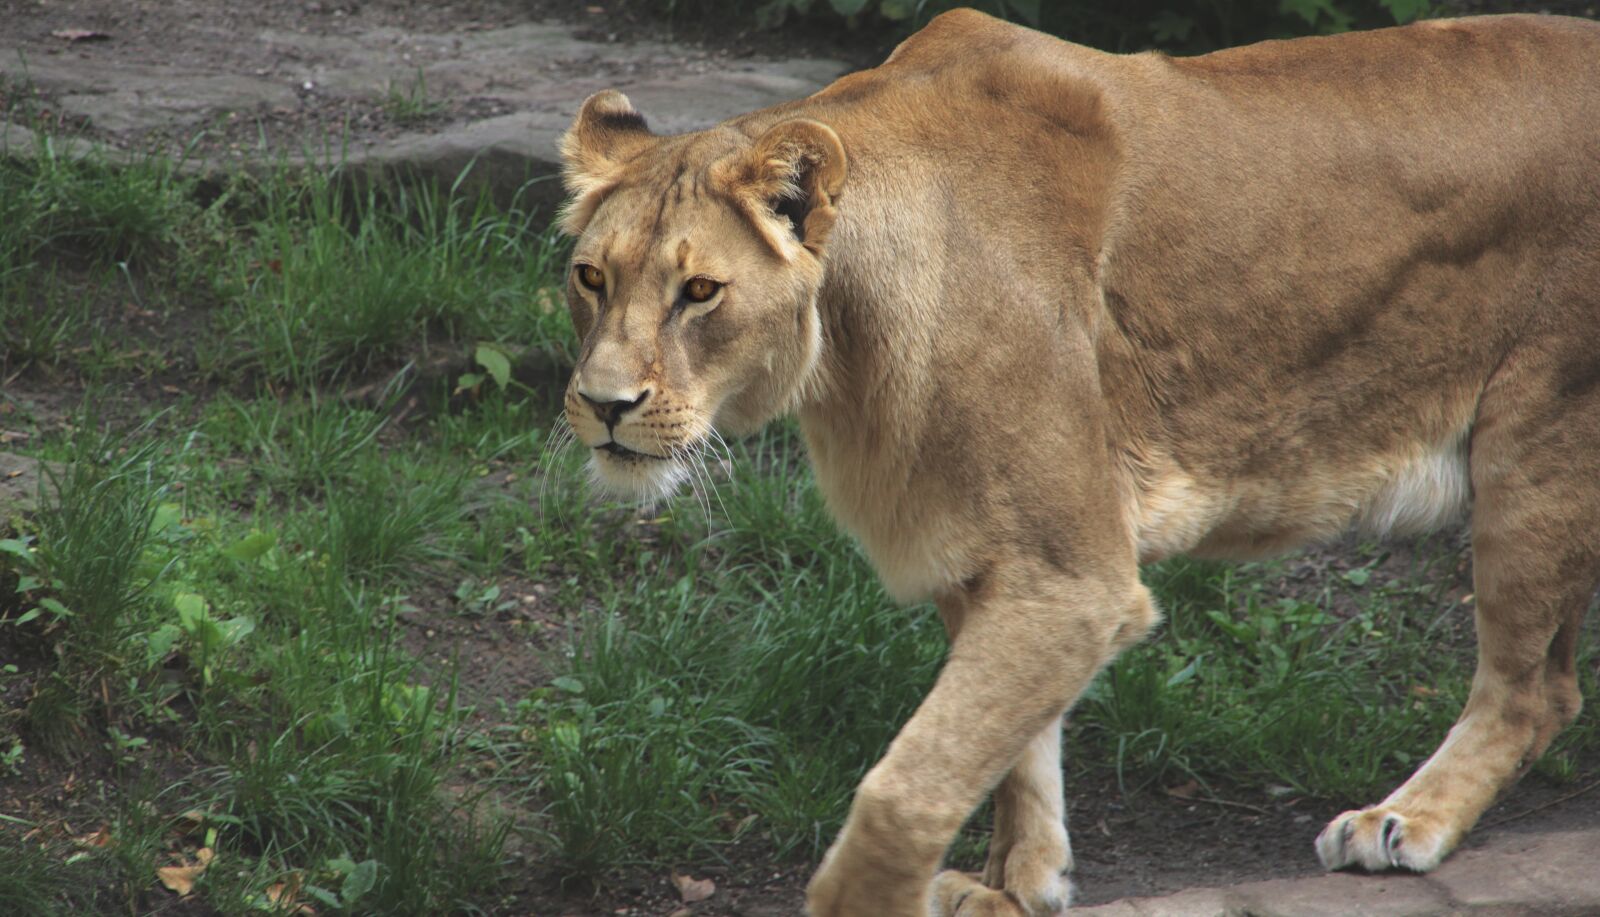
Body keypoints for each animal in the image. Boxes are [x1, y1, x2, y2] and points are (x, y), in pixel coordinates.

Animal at [554, 9, 1600, 915]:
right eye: (590, 276)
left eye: (700, 291)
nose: (603, 407)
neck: (845, 346)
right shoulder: (987, 553)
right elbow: (1015, 754)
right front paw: (1020, 887)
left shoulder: (1075, 575)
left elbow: (909, 785)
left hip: (1539, 442)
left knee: (1532, 689)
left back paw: (1402, 818)